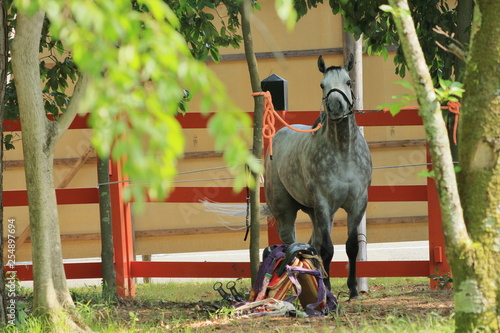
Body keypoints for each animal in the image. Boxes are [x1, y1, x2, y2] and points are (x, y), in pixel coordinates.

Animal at [266, 55, 372, 298]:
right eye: (323, 85)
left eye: (348, 82)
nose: (335, 106)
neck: (343, 152)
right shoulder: (323, 203)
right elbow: (328, 249)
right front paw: (329, 288)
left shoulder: (357, 203)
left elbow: (351, 246)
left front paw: (353, 290)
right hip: (286, 211)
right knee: (291, 244)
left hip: (315, 213)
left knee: (311, 244)